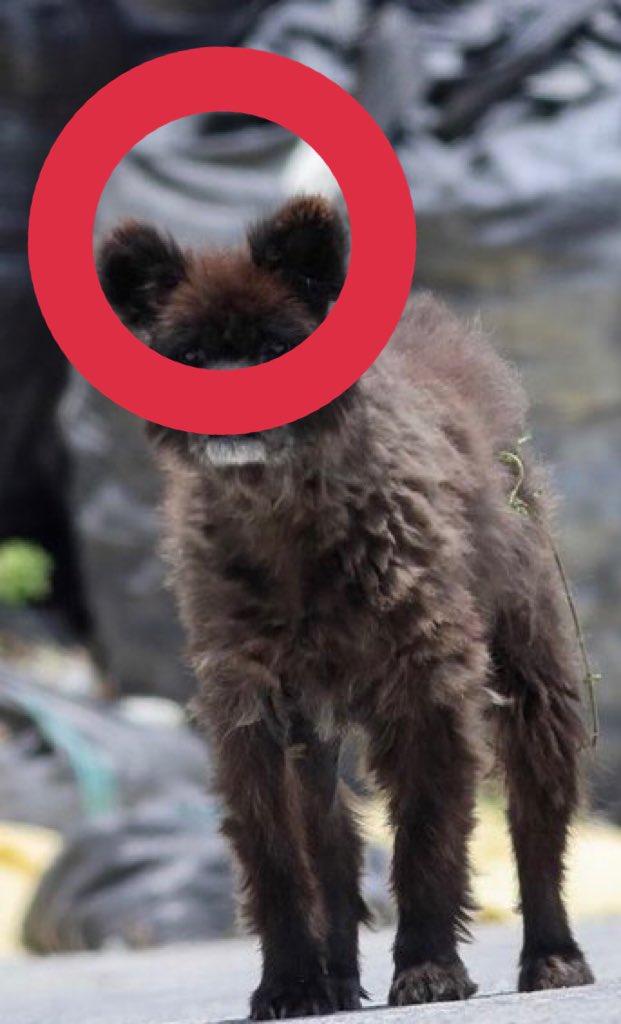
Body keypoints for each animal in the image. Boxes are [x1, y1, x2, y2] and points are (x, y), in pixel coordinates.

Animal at [98, 194, 594, 1018]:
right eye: (190, 357)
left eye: (274, 348)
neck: (289, 527)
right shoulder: (252, 711)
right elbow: (278, 860)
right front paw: (288, 982)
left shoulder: (427, 690)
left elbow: (427, 837)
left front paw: (427, 967)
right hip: (318, 734)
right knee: (331, 845)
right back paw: (332, 978)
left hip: (533, 678)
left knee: (536, 824)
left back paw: (552, 954)